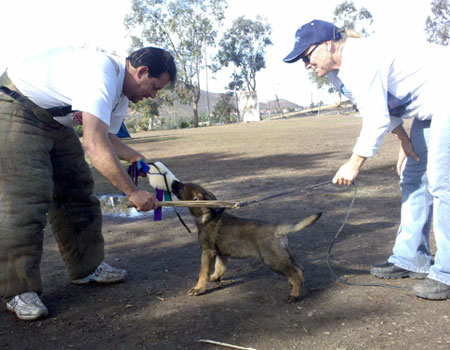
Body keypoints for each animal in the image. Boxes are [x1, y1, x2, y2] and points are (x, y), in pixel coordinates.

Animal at [171, 180, 322, 304]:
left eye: (182, 186)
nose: (173, 182)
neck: (207, 215)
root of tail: (276, 228)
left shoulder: (207, 251)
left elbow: (203, 272)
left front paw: (199, 288)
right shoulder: (221, 253)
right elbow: (220, 267)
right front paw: (215, 277)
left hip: (272, 259)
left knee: (295, 271)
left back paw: (294, 295)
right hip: (283, 255)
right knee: (299, 268)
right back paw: (295, 285)